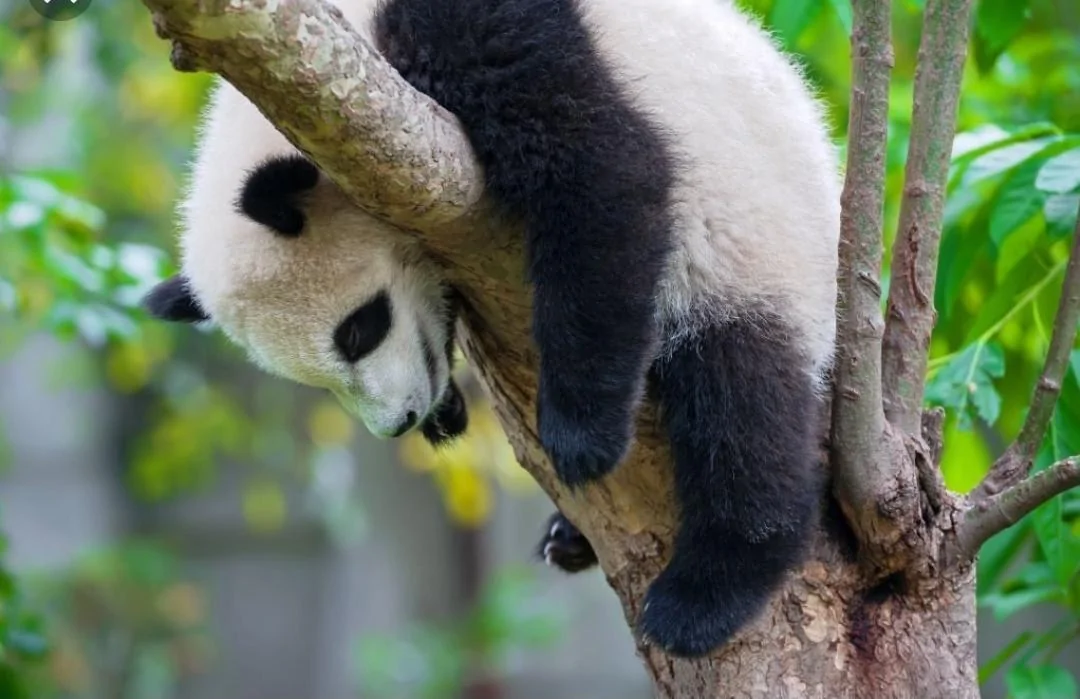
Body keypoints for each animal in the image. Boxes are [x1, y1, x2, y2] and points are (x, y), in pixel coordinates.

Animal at [144, 0, 841, 658]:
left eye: (360, 330)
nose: (400, 421)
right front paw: (449, 409)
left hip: (759, 255)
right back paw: (571, 540)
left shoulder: (472, 31)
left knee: (742, 404)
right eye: (317, 380)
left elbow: (603, 170)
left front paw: (582, 437)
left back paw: (705, 595)